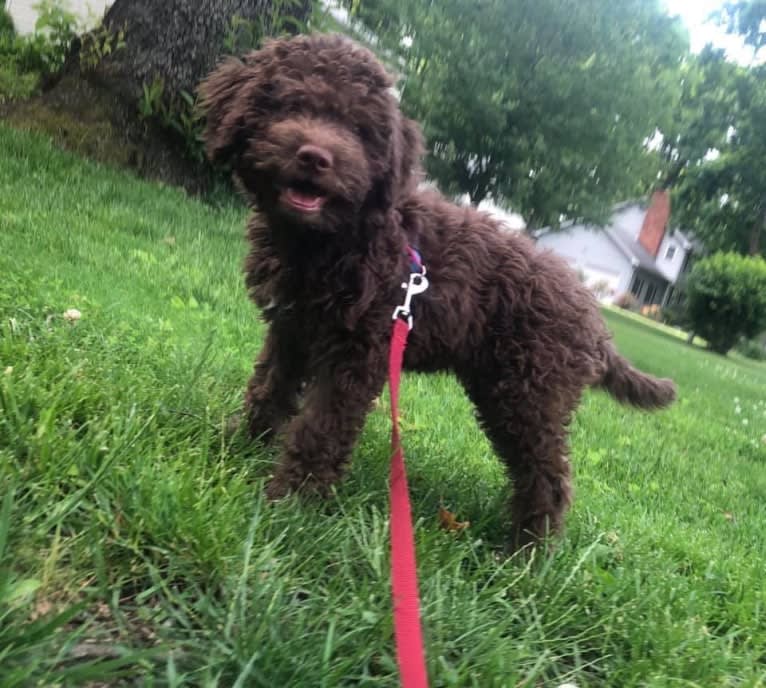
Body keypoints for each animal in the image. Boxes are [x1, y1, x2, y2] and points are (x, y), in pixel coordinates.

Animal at [201, 33, 676, 548]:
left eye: (359, 129)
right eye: (288, 102)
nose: (315, 157)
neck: (331, 237)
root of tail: (595, 321)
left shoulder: (356, 353)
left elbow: (321, 427)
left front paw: (289, 503)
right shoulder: (291, 331)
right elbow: (268, 390)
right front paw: (237, 446)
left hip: (528, 394)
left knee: (548, 477)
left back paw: (526, 553)